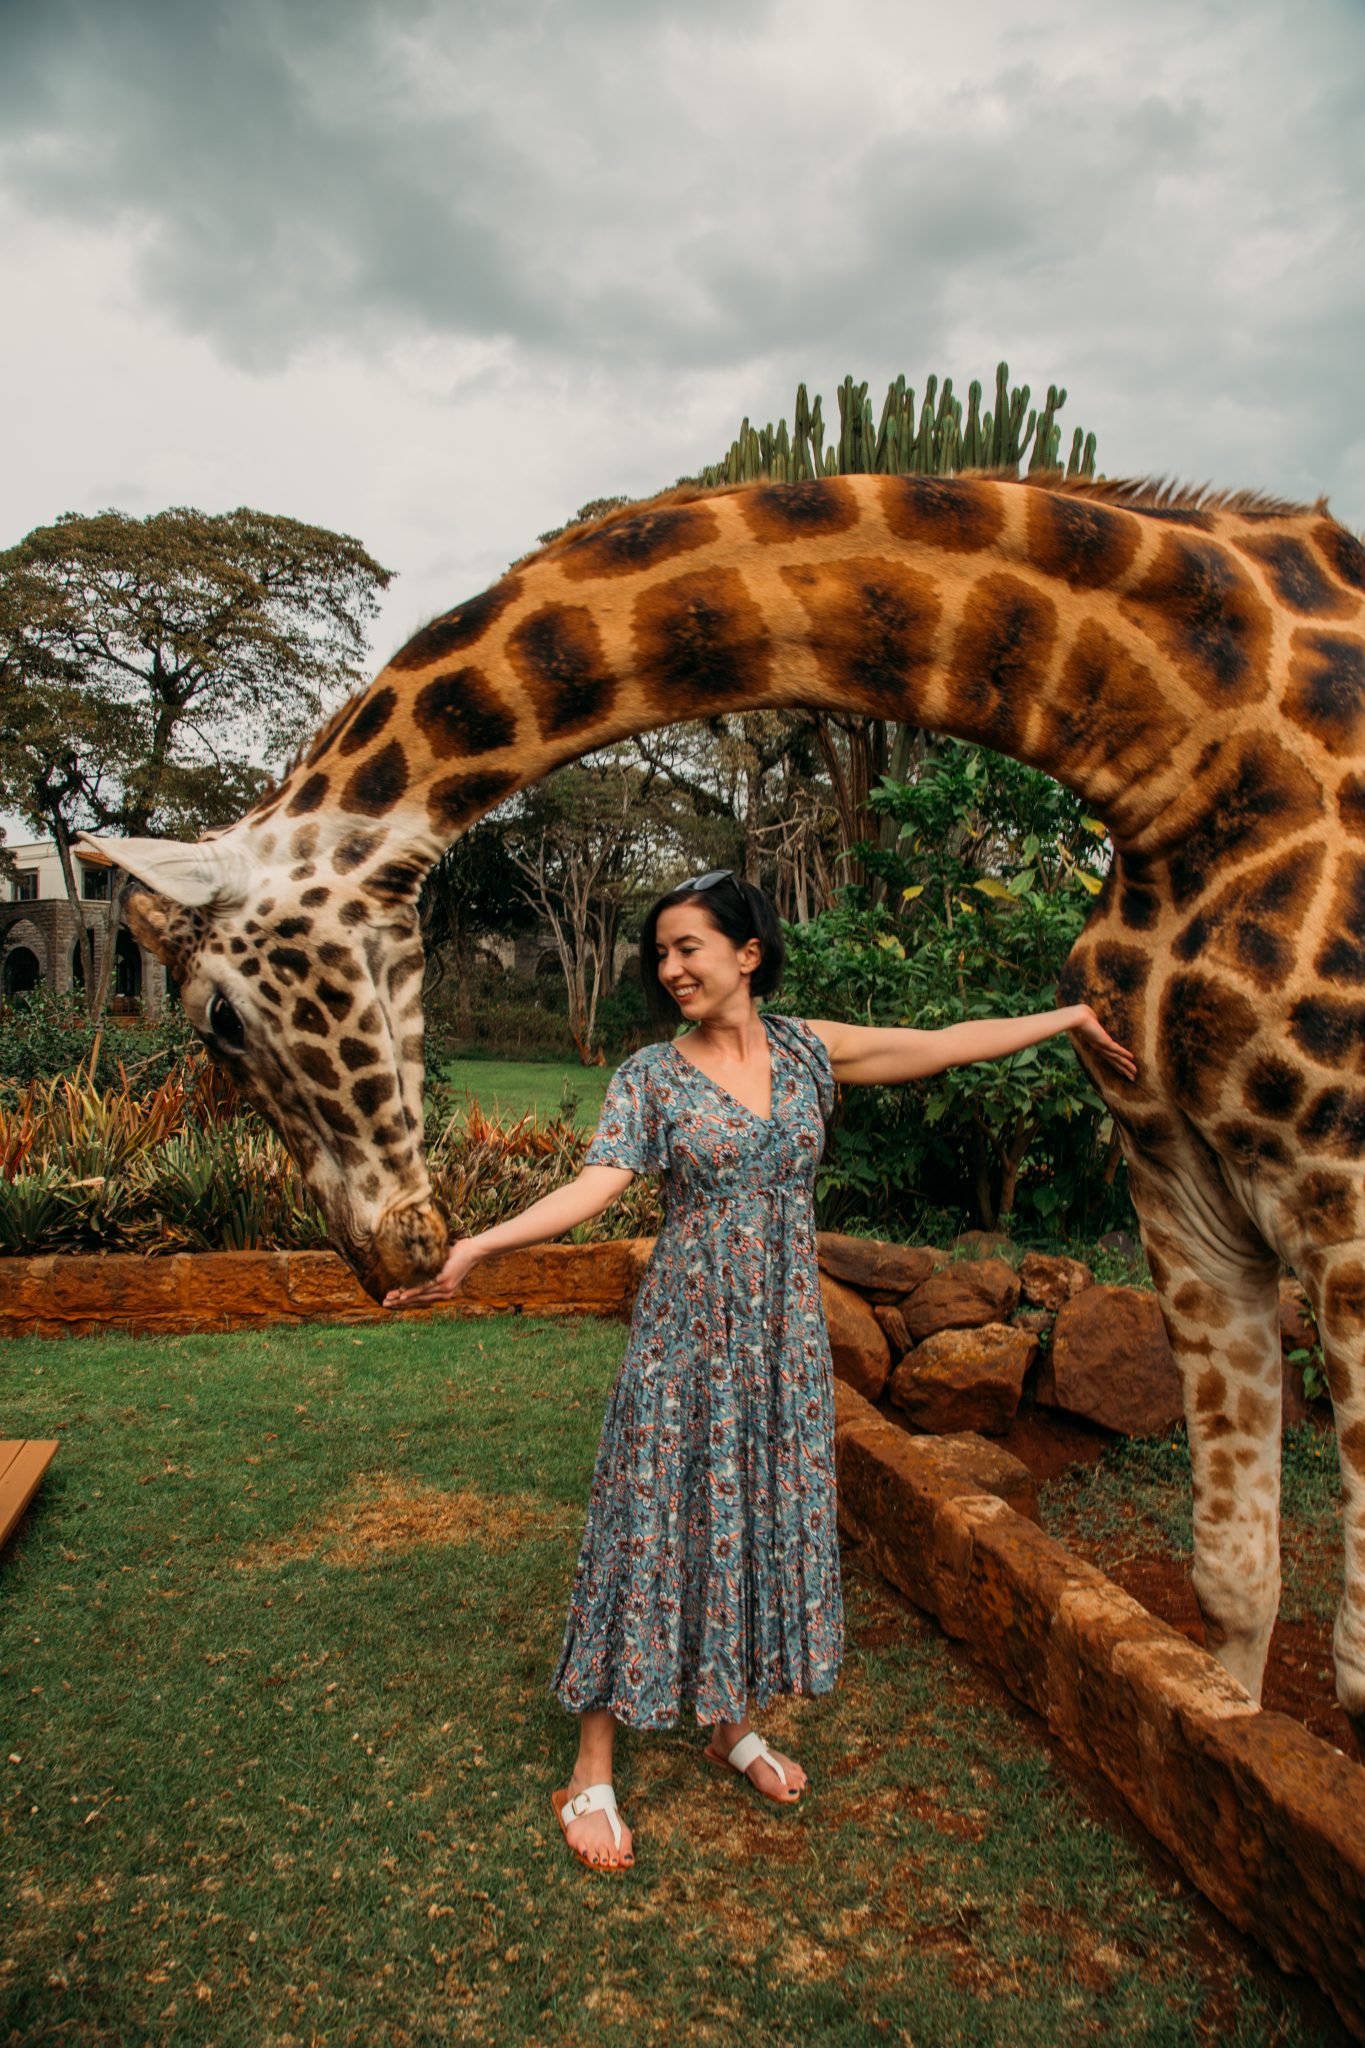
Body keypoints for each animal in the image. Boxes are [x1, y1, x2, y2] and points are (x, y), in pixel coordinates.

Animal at [77, 475, 1365, 1728]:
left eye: (218, 1019)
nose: (392, 1255)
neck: (1184, 752)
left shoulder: (1342, 1203)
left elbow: (1350, 1662)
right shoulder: (1181, 1186)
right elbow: (1232, 1580)